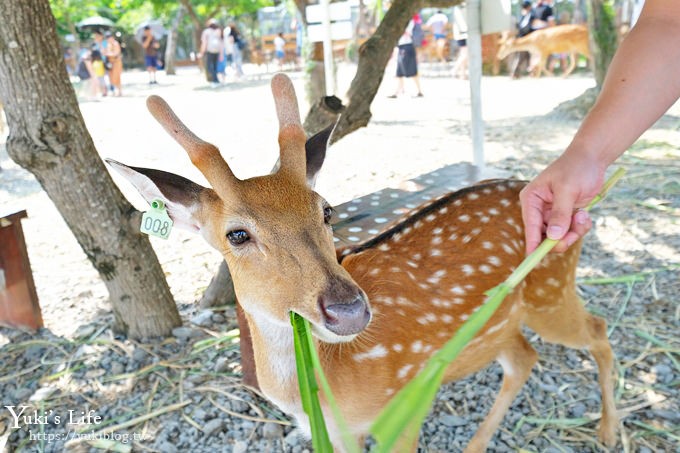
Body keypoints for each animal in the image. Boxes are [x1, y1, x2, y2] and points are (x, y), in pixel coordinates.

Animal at [109, 75, 620, 452]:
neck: (326, 391)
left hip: (551, 292)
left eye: (327, 210)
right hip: (504, 321)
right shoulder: (339, 432)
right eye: (237, 234)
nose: (348, 309)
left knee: (596, 329)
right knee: (524, 358)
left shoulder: (406, 406)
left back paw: (609, 432)